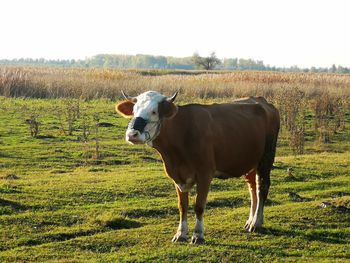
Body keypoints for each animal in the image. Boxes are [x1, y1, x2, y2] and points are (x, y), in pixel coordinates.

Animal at [116, 91, 280, 245]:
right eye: (134, 111)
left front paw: (198, 235)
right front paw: (180, 234)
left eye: (154, 111)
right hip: (250, 162)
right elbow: (182, 206)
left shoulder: (205, 174)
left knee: (262, 187)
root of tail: (263, 102)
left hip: (266, 157)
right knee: (252, 188)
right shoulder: (177, 177)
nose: (132, 134)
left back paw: (256, 223)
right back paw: (250, 220)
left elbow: (199, 206)